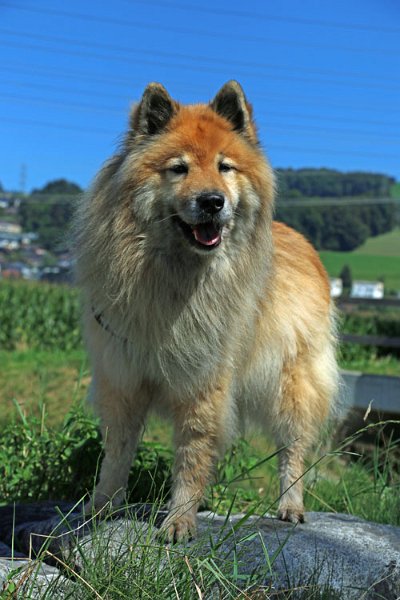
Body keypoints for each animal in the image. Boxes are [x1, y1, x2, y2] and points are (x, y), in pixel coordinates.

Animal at [73, 81, 340, 544]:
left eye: (225, 167)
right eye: (178, 169)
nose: (212, 201)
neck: (175, 279)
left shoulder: (204, 383)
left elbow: (193, 455)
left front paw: (179, 520)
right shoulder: (122, 380)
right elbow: (117, 454)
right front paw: (102, 508)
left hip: (292, 384)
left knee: (293, 448)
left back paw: (290, 505)